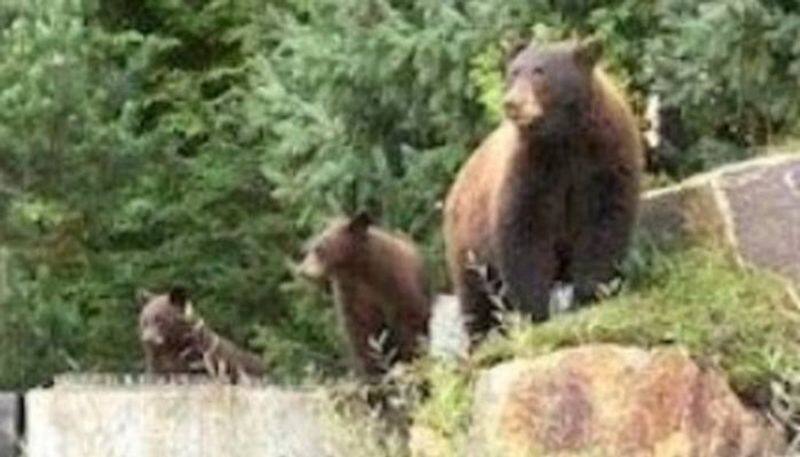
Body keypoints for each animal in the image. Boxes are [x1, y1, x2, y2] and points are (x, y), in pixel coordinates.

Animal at [296, 214, 432, 378]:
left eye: (320, 248)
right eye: (310, 247)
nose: (302, 271)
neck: (358, 270)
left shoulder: (395, 286)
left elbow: (410, 323)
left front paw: (410, 361)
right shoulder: (351, 296)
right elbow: (360, 333)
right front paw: (371, 373)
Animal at [444, 39, 644, 336]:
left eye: (540, 72)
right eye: (514, 72)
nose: (512, 103)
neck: (564, 138)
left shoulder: (605, 163)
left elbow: (602, 226)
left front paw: (589, 295)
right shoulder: (532, 172)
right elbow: (525, 235)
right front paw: (535, 312)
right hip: (467, 241)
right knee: (476, 296)